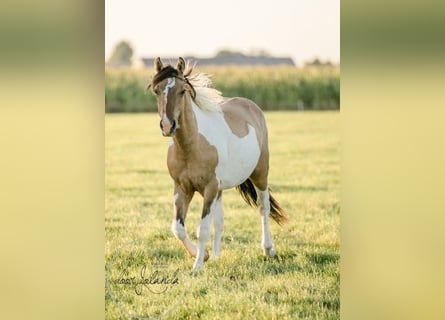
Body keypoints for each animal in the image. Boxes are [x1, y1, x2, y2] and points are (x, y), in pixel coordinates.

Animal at [147, 57, 288, 270]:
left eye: (182, 91)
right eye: (157, 90)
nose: (167, 125)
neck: (192, 146)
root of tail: (251, 106)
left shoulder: (210, 188)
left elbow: (203, 228)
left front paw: (197, 266)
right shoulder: (182, 188)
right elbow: (178, 228)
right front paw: (203, 256)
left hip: (260, 174)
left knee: (263, 207)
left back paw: (268, 249)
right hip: (220, 190)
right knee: (220, 221)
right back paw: (215, 256)